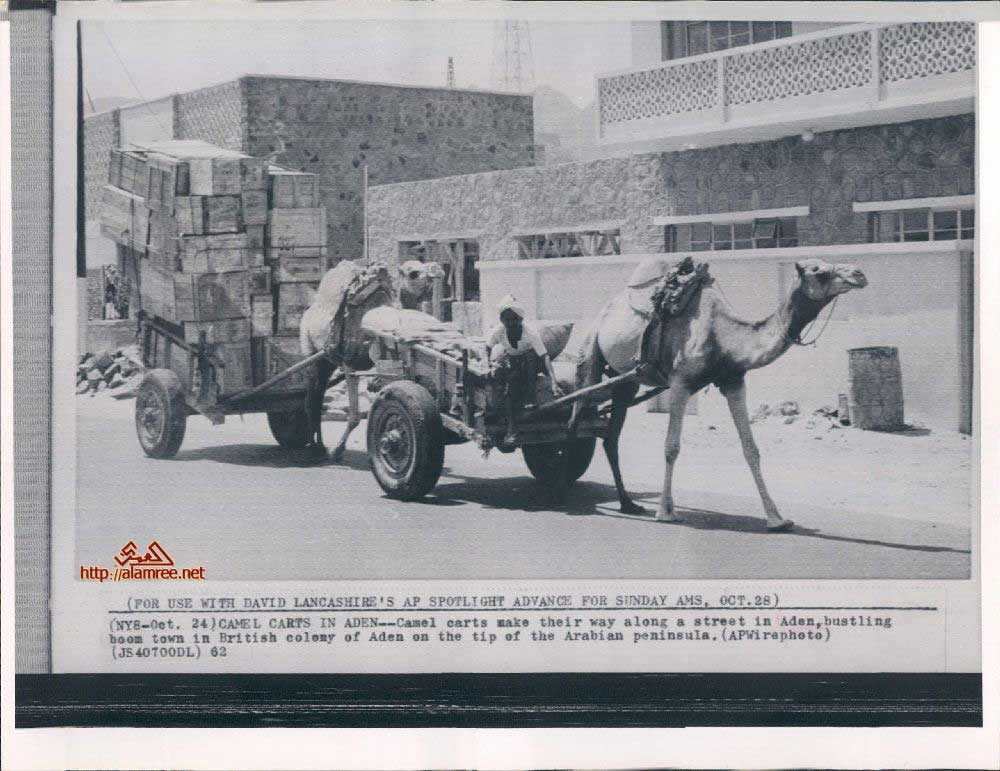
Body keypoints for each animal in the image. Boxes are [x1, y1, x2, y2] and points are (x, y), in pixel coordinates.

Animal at [299, 259, 395, 461]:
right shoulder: (350, 365)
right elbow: (354, 417)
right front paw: (337, 450)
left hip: (327, 359)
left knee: (318, 395)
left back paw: (319, 446)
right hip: (311, 351)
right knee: (313, 398)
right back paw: (314, 448)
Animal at [569, 257, 868, 530]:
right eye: (819, 271)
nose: (859, 273)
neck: (724, 337)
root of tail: (606, 309)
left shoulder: (733, 382)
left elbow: (751, 449)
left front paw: (777, 519)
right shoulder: (680, 383)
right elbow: (671, 447)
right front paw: (666, 512)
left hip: (626, 380)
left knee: (610, 438)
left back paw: (628, 503)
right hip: (594, 352)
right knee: (577, 420)